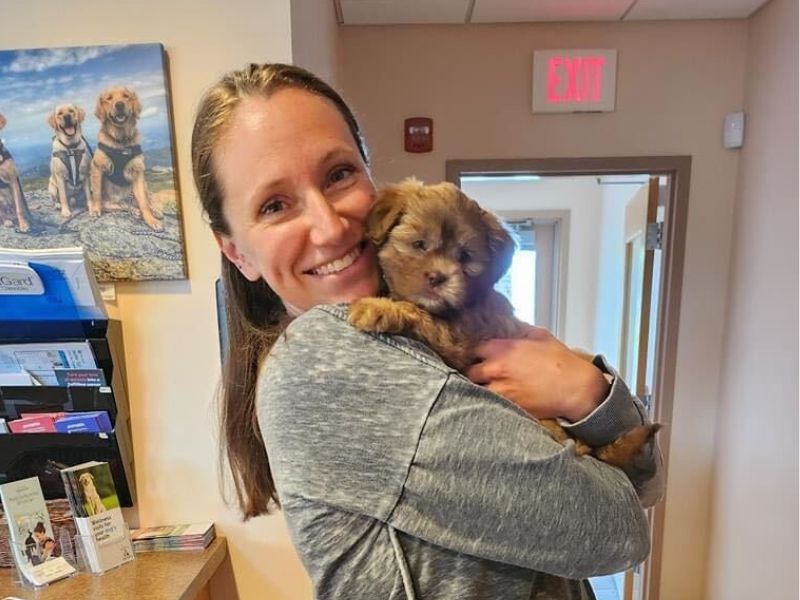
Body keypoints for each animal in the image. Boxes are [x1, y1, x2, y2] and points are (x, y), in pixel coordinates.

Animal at [90, 85, 162, 231]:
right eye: (109, 98)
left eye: (126, 96)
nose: (119, 105)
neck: (121, 140)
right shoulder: (97, 167)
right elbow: (97, 194)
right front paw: (95, 209)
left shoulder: (138, 172)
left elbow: (144, 202)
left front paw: (150, 220)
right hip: (113, 203)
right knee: (123, 206)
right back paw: (135, 211)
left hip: (144, 184)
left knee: (143, 201)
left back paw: (153, 211)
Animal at [348, 178, 656, 468]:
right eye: (419, 244)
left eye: (465, 257)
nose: (438, 277)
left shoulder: (460, 337)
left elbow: (420, 315)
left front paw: (378, 308)